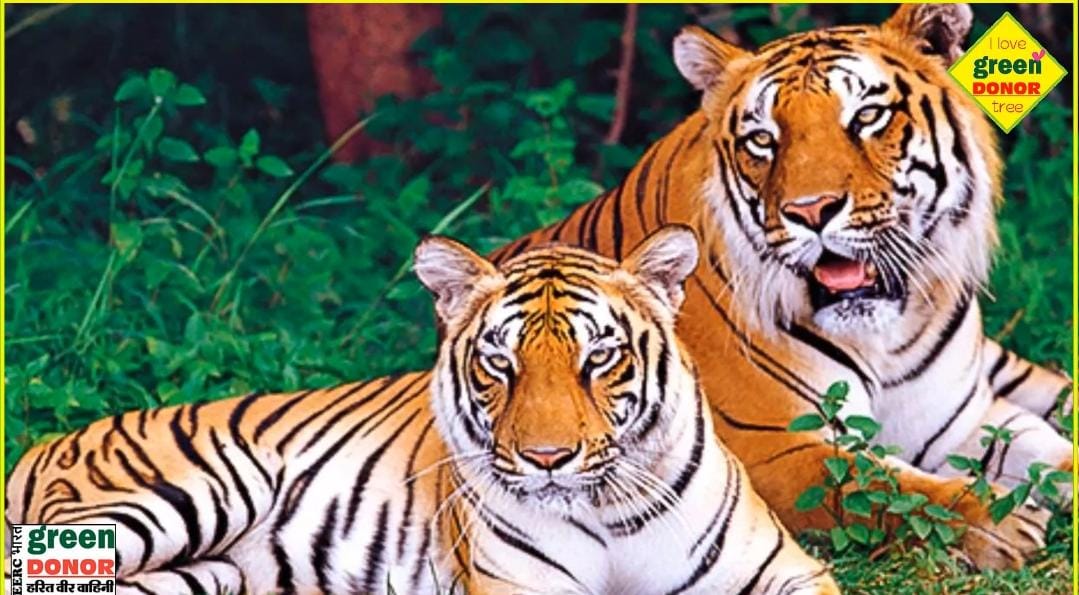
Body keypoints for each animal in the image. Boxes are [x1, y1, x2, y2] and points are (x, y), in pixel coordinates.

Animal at [6, 228, 839, 594]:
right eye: (499, 363)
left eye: (598, 357)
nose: (546, 460)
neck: (608, 511)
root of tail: (45, 441)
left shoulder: (787, 571)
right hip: (169, 504)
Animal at [492, 4, 1071, 570]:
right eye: (762, 140)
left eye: (867, 117)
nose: (811, 212)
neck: (888, 334)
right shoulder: (770, 450)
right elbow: (880, 485)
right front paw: (999, 522)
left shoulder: (962, 419)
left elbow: (1050, 453)